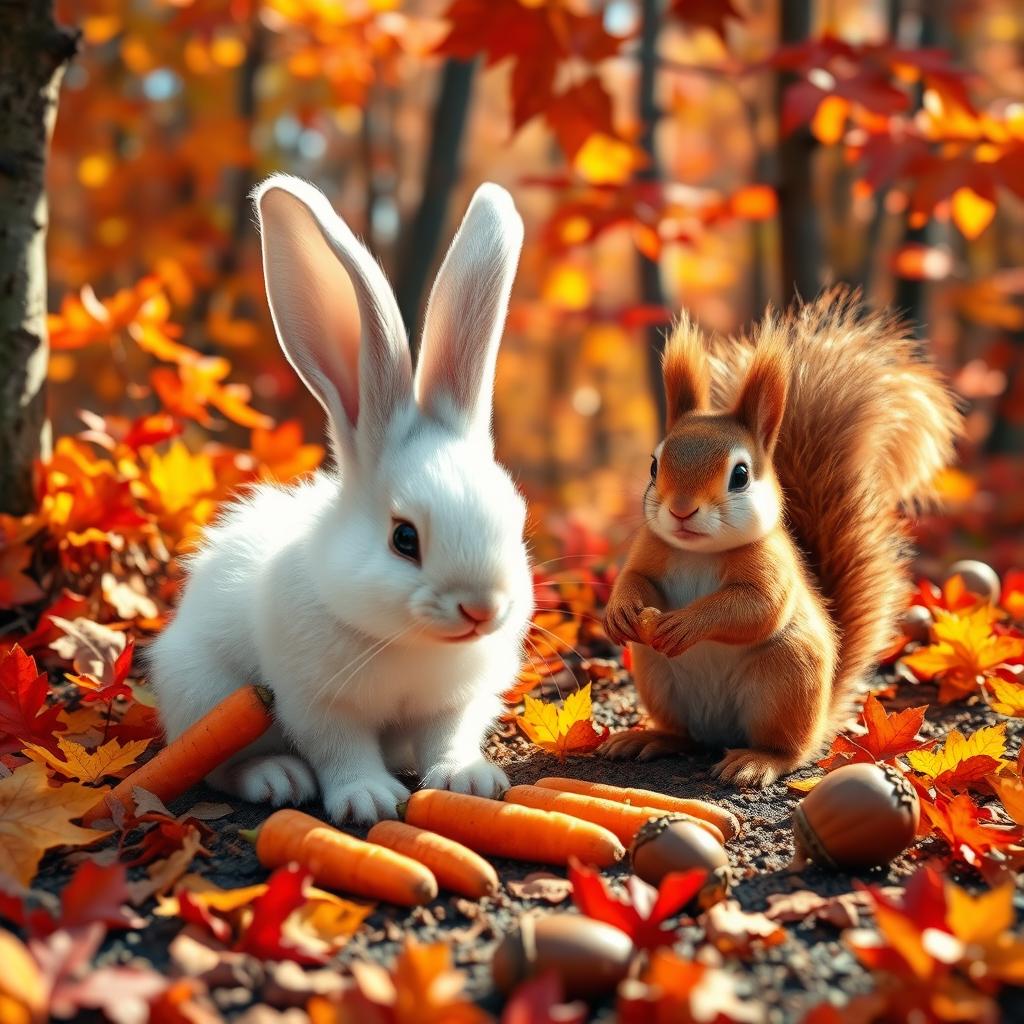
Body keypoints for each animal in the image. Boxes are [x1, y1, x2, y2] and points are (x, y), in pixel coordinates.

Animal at [153, 174, 536, 823]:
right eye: (403, 538)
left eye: (516, 520)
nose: (481, 609)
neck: (407, 641)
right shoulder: (316, 702)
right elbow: (341, 749)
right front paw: (369, 800)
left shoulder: (454, 701)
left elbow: (447, 736)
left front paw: (469, 781)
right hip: (202, 690)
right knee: (218, 762)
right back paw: (275, 778)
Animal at [598, 292, 958, 786]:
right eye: (654, 466)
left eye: (741, 475)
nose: (681, 510)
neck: (698, 553)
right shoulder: (650, 551)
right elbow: (635, 580)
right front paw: (619, 612)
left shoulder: (773, 566)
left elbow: (756, 607)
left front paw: (687, 623)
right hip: (656, 676)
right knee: (684, 736)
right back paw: (649, 739)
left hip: (786, 678)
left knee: (787, 749)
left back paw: (756, 761)